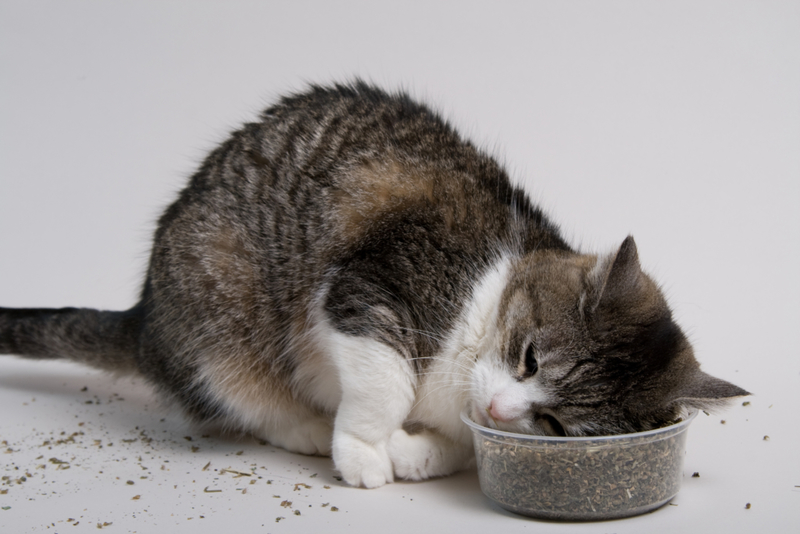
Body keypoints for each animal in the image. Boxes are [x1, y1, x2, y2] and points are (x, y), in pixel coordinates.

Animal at [1, 80, 752, 490]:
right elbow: (384, 381)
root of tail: (144, 318)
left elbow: (451, 442)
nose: (503, 408)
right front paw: (365, 450)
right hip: (218, 315)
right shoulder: (371, 283)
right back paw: (307, 426)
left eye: (556, 425)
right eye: (530, 357)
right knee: (241, 394)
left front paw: (415, 451)